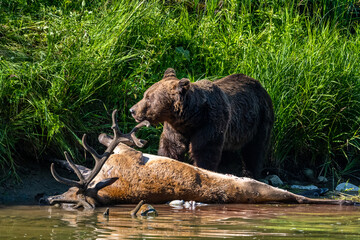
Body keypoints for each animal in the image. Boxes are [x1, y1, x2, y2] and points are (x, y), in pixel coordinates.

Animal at [131, 68, 274, 177]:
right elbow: (171, 146)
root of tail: (260, 86)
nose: (132, 110)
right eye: (145, 94)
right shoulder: (175, 128)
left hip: (260, 120)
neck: (191, 118)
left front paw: (203, 169)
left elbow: (205, 150)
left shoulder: (211, 122)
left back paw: (250, 173)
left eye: (148, 98)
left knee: (255, 150)